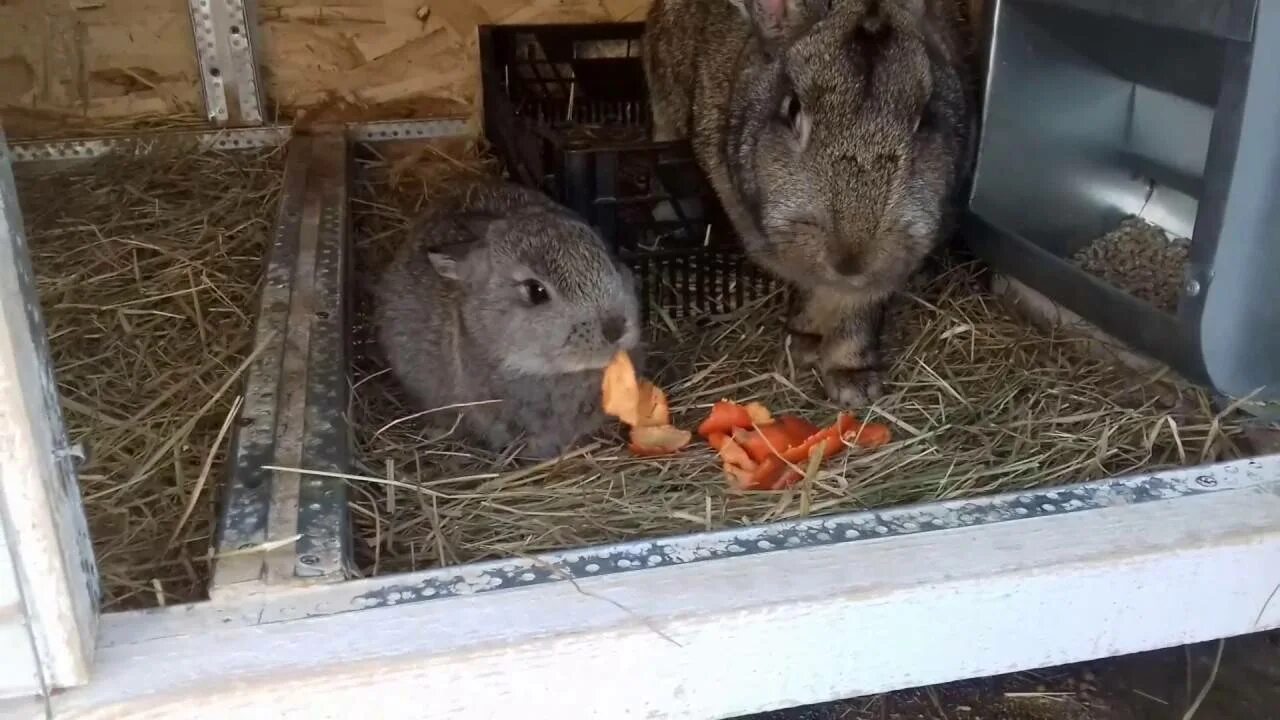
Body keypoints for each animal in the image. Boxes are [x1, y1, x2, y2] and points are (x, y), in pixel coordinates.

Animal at [645, 0, 972, 404]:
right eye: (792, 109)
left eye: (925, 118)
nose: (850, 259)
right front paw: (804, 344)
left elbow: (855, 307)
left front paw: (852, 381)